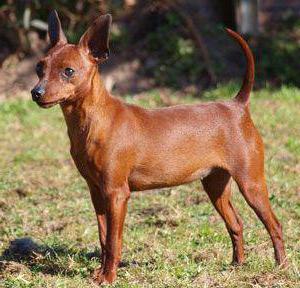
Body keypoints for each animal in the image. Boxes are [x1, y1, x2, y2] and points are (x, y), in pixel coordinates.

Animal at [31, 10, 288, 284]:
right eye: (40, 67)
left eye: (68, 71)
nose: (36, 92)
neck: (93, 120)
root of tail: (237, 105)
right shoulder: (97, 193)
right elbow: (102, 237)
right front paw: (100, 273)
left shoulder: (116, 194)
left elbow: (113, 241)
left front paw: (108, 277)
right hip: (215, 186)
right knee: (236, 224)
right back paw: (237, 264)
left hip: (251, 184)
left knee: (274, 224)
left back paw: (281, 267)